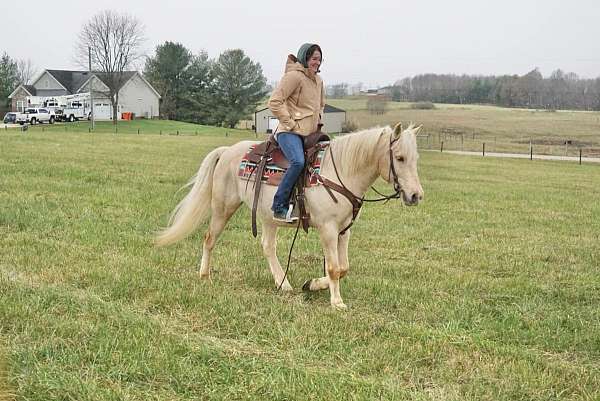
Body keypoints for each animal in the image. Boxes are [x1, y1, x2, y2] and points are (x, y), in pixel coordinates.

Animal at [157, 123, 424, 308]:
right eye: (399, 158)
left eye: (415, 158)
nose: (415, 195)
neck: (339, 172)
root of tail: (228, 151)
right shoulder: (327, 228)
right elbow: (334, 268)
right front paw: (337, 302)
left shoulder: (344, 230)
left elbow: (344, 267)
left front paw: (312, 285)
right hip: (224, 207)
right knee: (210, 238)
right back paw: (205, 275)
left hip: (267, 216)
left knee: (268, 247)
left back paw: (283, 283)